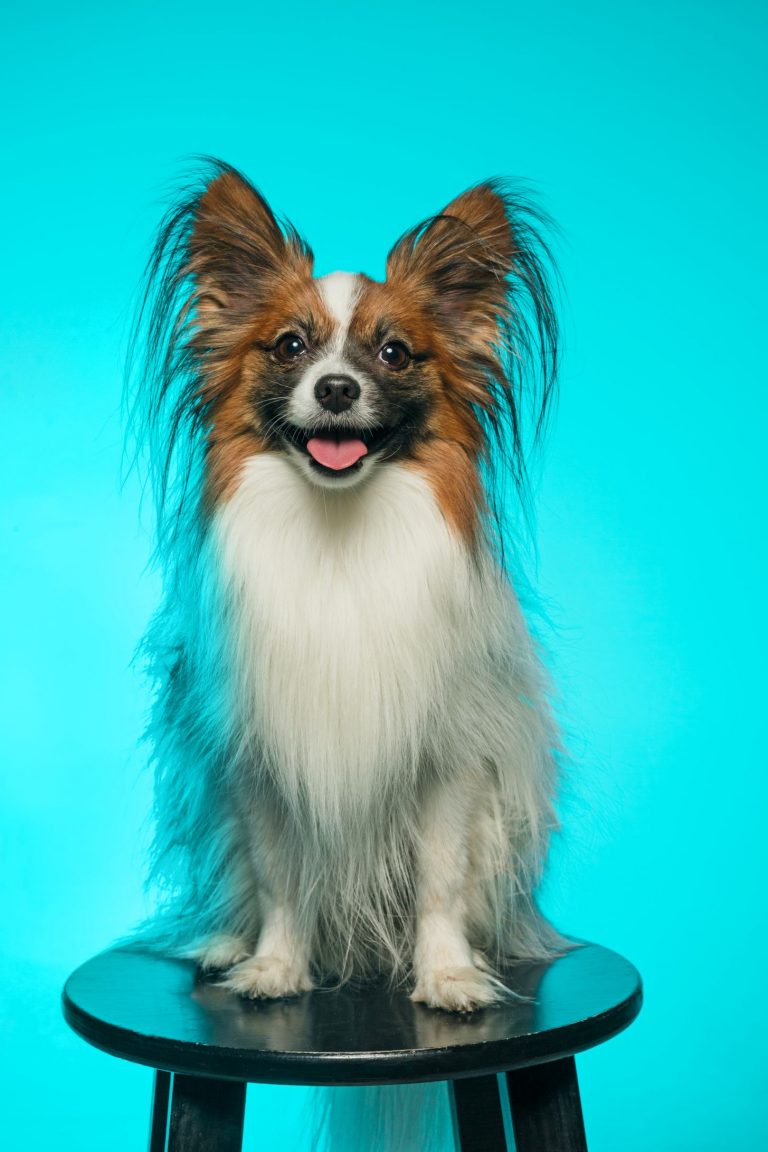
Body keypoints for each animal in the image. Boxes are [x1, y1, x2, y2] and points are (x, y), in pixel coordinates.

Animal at [128, 160, 564, 1009]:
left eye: (393, 353)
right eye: (289, 347)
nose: (335, 389)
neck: (339, 532)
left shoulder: (450, 761)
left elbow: (438, 879)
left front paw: (448, 974)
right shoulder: (262, 763)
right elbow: (280, 878)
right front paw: (275, 966)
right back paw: (227, 944)